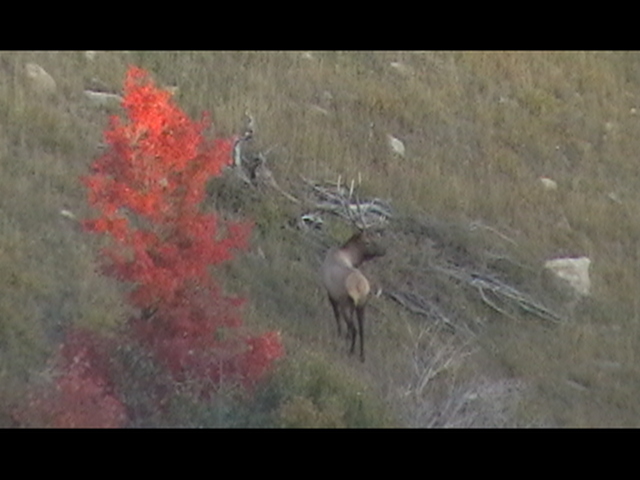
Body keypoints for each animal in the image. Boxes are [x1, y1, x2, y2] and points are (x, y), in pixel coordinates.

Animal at [320, 228, 384, 360]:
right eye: (367, 242)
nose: (384, 250)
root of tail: (361, 288)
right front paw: (346, 336)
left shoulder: (332, 296)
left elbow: (337, 316)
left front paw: (341, 334)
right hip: (361, 305)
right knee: (361, 329)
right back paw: (362, 355)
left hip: (346, 304)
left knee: (354, 328)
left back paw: (351, 351)